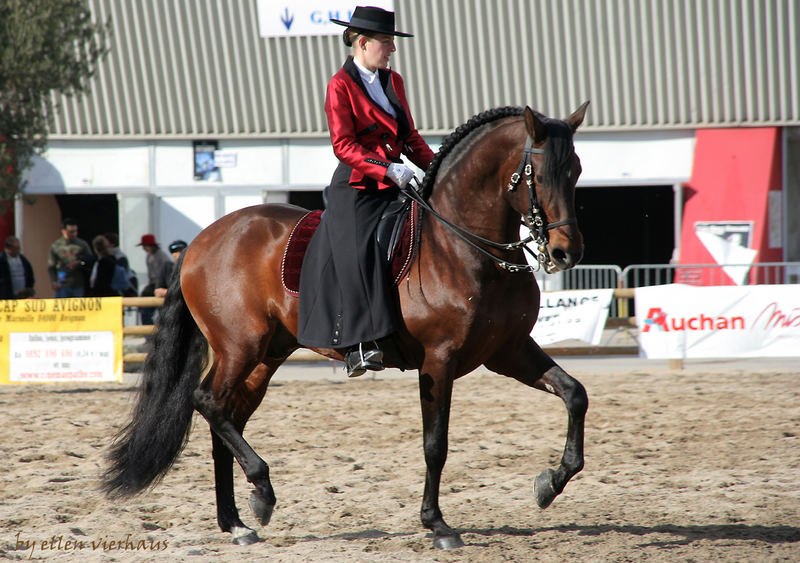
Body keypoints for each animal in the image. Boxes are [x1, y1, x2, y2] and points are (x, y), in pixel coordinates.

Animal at [103, 102, 592, 552]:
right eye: (540, 175)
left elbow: (574, 395)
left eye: (577, 171)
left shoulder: (508, 350)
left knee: (225, 414)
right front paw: (437, 525)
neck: (462, 247)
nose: (566, 253)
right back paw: (262, 491)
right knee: (207, 401)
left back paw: (237, 522)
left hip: (265, 356)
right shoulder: (439, 361)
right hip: (240, 347)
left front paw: (550, 483)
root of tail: (203, 238)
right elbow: (435, 444)